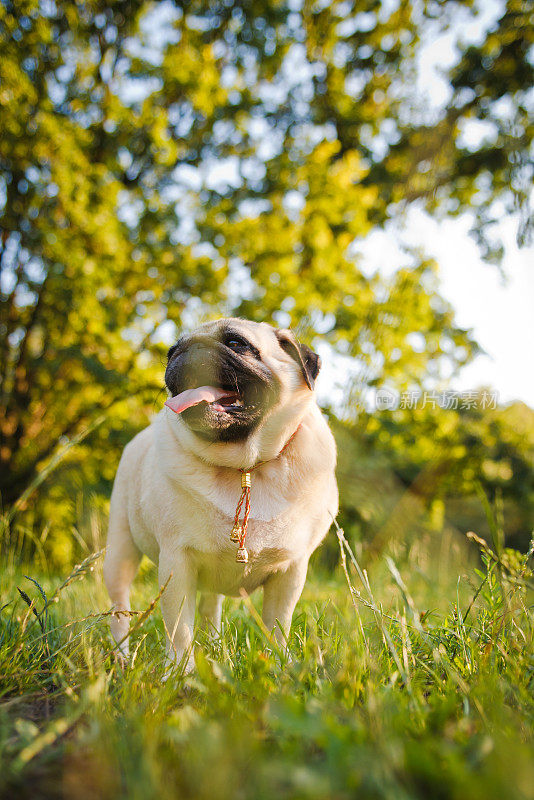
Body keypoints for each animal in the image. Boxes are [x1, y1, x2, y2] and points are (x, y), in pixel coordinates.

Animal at [104, 316, 340, 672]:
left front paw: (278, 665)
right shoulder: (177, 562)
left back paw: (213, 644)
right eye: (171, 350)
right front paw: (181, 672)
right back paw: (120, 656)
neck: (246, 467)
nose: (186, 350)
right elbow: (179, 629)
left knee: (210, 605)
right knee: (119, 608)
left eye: (237, 344)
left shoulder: (291, 570)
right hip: (120, 550)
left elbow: (277, 625)